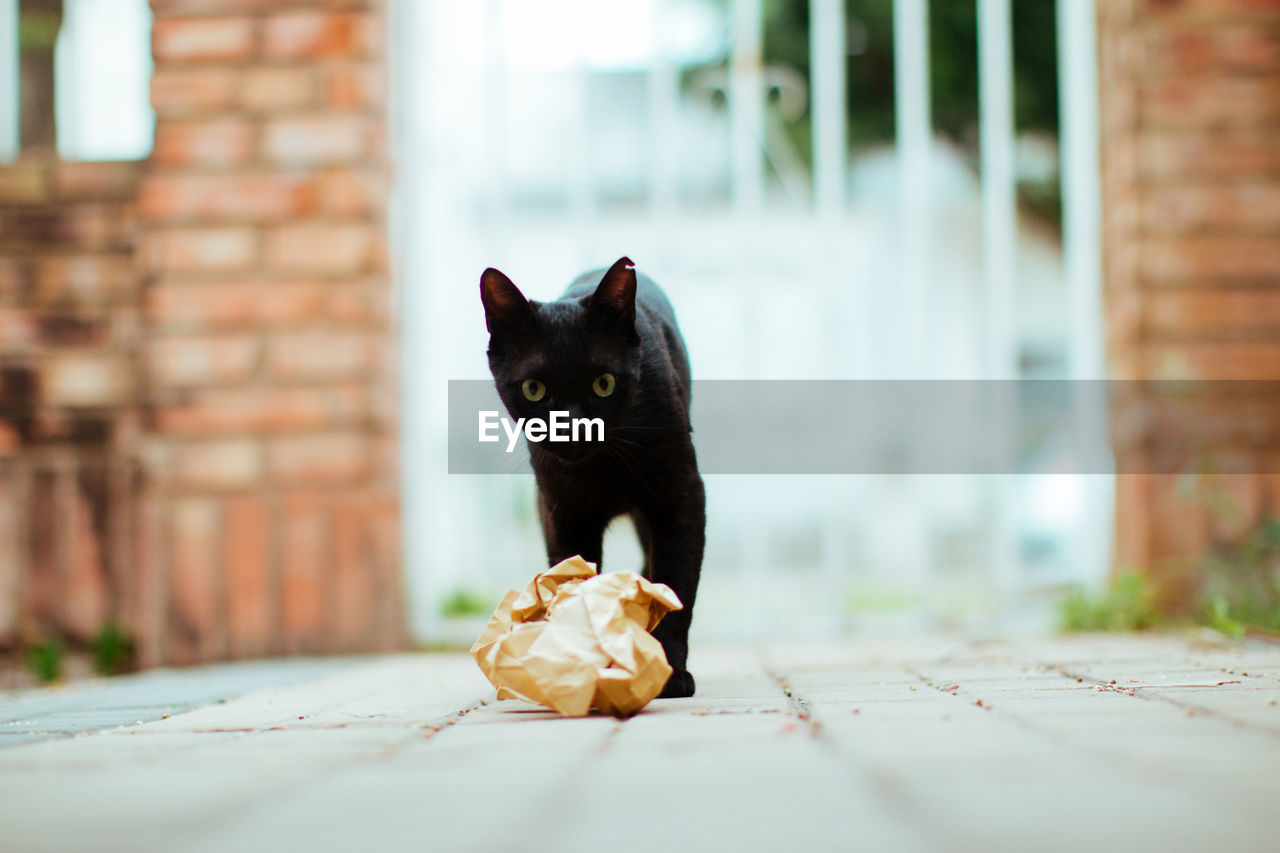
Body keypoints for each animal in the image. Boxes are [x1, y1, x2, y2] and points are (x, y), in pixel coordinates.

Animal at [481, 256, 706, 696]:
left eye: (604, 383)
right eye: (534, 389)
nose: (574, 428)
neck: (601, 469)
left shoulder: (682, 496)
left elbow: (675, 584)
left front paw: (670, 670)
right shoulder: (564, 513)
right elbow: (574, 586)